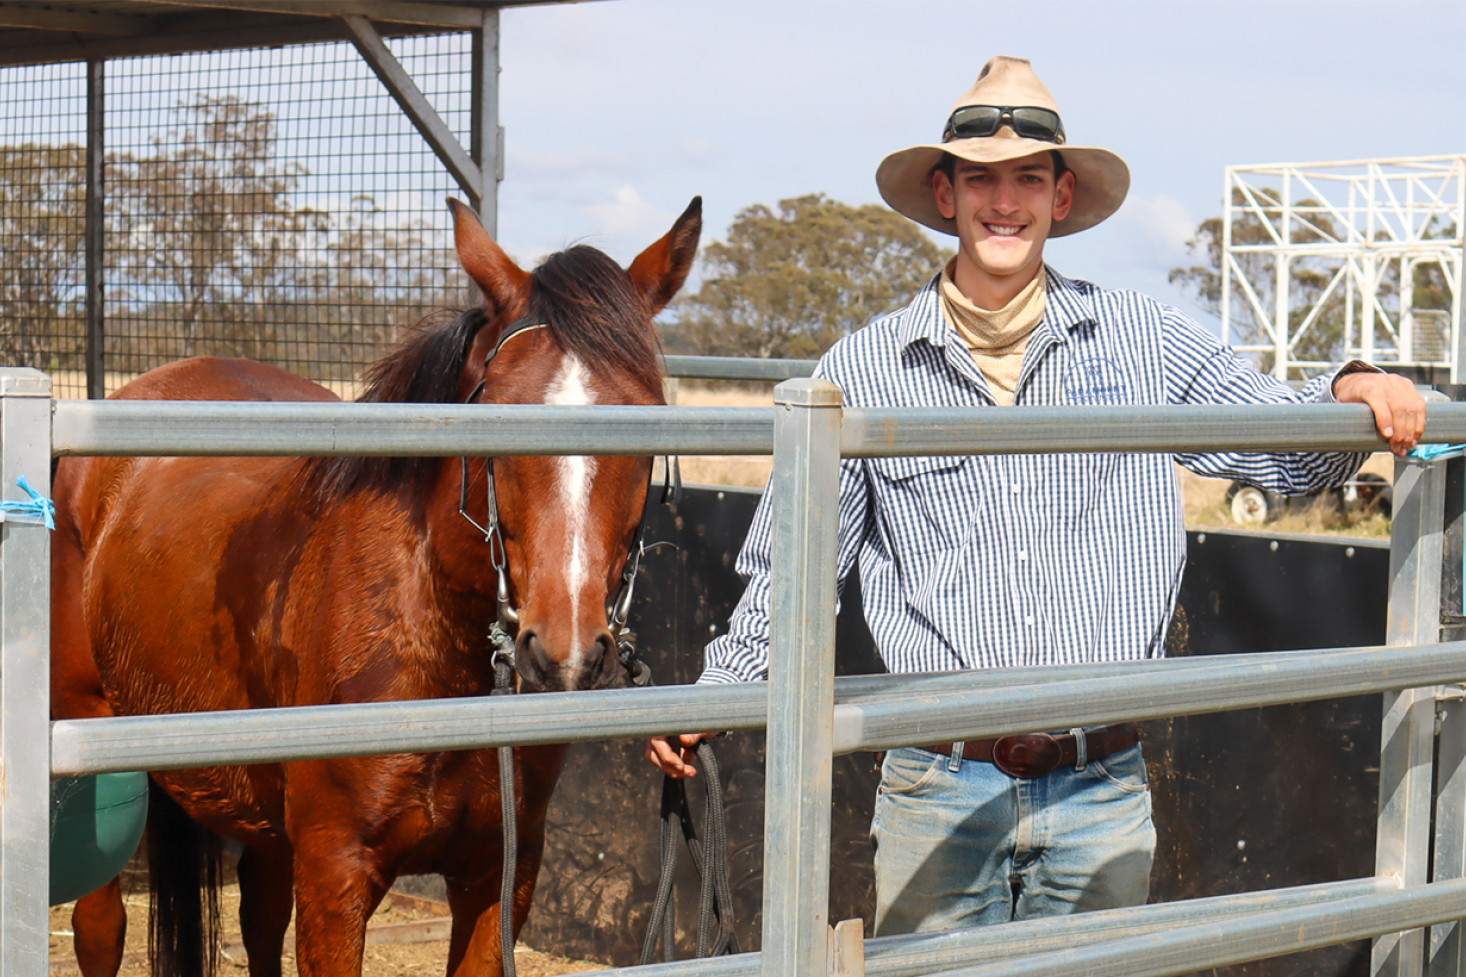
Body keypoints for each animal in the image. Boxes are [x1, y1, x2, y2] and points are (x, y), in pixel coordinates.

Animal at [51, 198, 703, 974]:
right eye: (497, 413)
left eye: (648, 420)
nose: (564, 650)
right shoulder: (337, 874)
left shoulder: (499, 876)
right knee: (100, 925)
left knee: (259, 914)